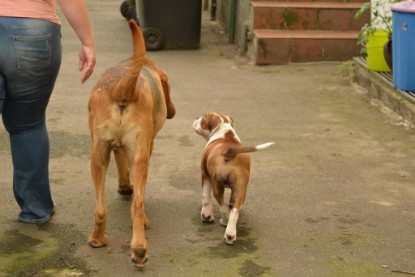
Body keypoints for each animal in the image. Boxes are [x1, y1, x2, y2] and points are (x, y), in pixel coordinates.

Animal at [87, 20, 175, 268]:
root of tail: (122, 86)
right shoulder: (144, 146)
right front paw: (127, 188)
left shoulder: (117, 149)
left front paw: (125, 187)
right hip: (139, 158)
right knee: (138, 204)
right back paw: (139, 247)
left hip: (98, 157)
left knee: (101, 209)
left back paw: (99, 240)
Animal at [193, 112, 274, 244]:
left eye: (203, 118)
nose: (196, 117)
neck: (225, 134)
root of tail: (230, 153)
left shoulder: (205, 175)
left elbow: (205, 197)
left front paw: (206, 215)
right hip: (241, 188)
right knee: (234, 211)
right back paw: (230, 234)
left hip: (217, 185)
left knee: (223, 207)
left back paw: (224, 222)